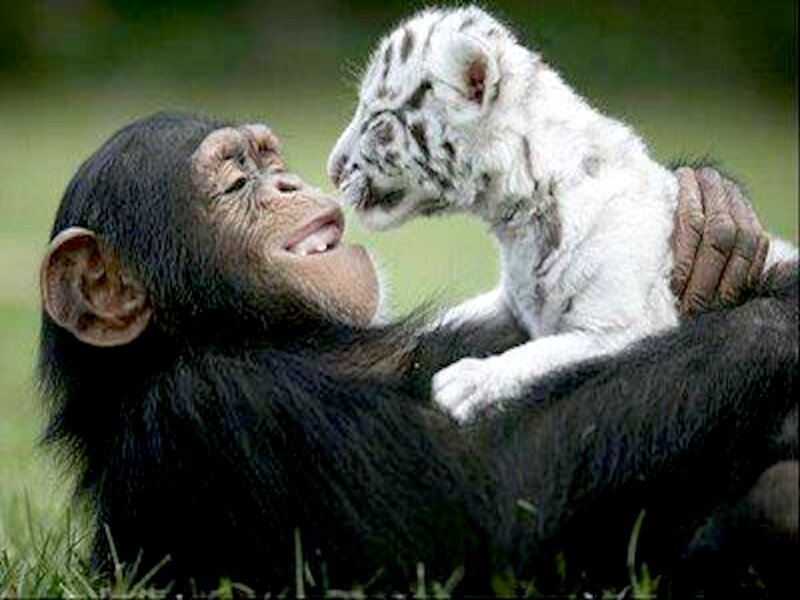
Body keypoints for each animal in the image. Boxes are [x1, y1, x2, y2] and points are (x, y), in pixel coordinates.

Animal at [327, 5, 796, 421]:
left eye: (377, 117)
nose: (332, 170)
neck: (517, 219)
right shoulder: (510, 301)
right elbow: (448, 321)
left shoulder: (621, 326)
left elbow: (545, 353)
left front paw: (468, 381)